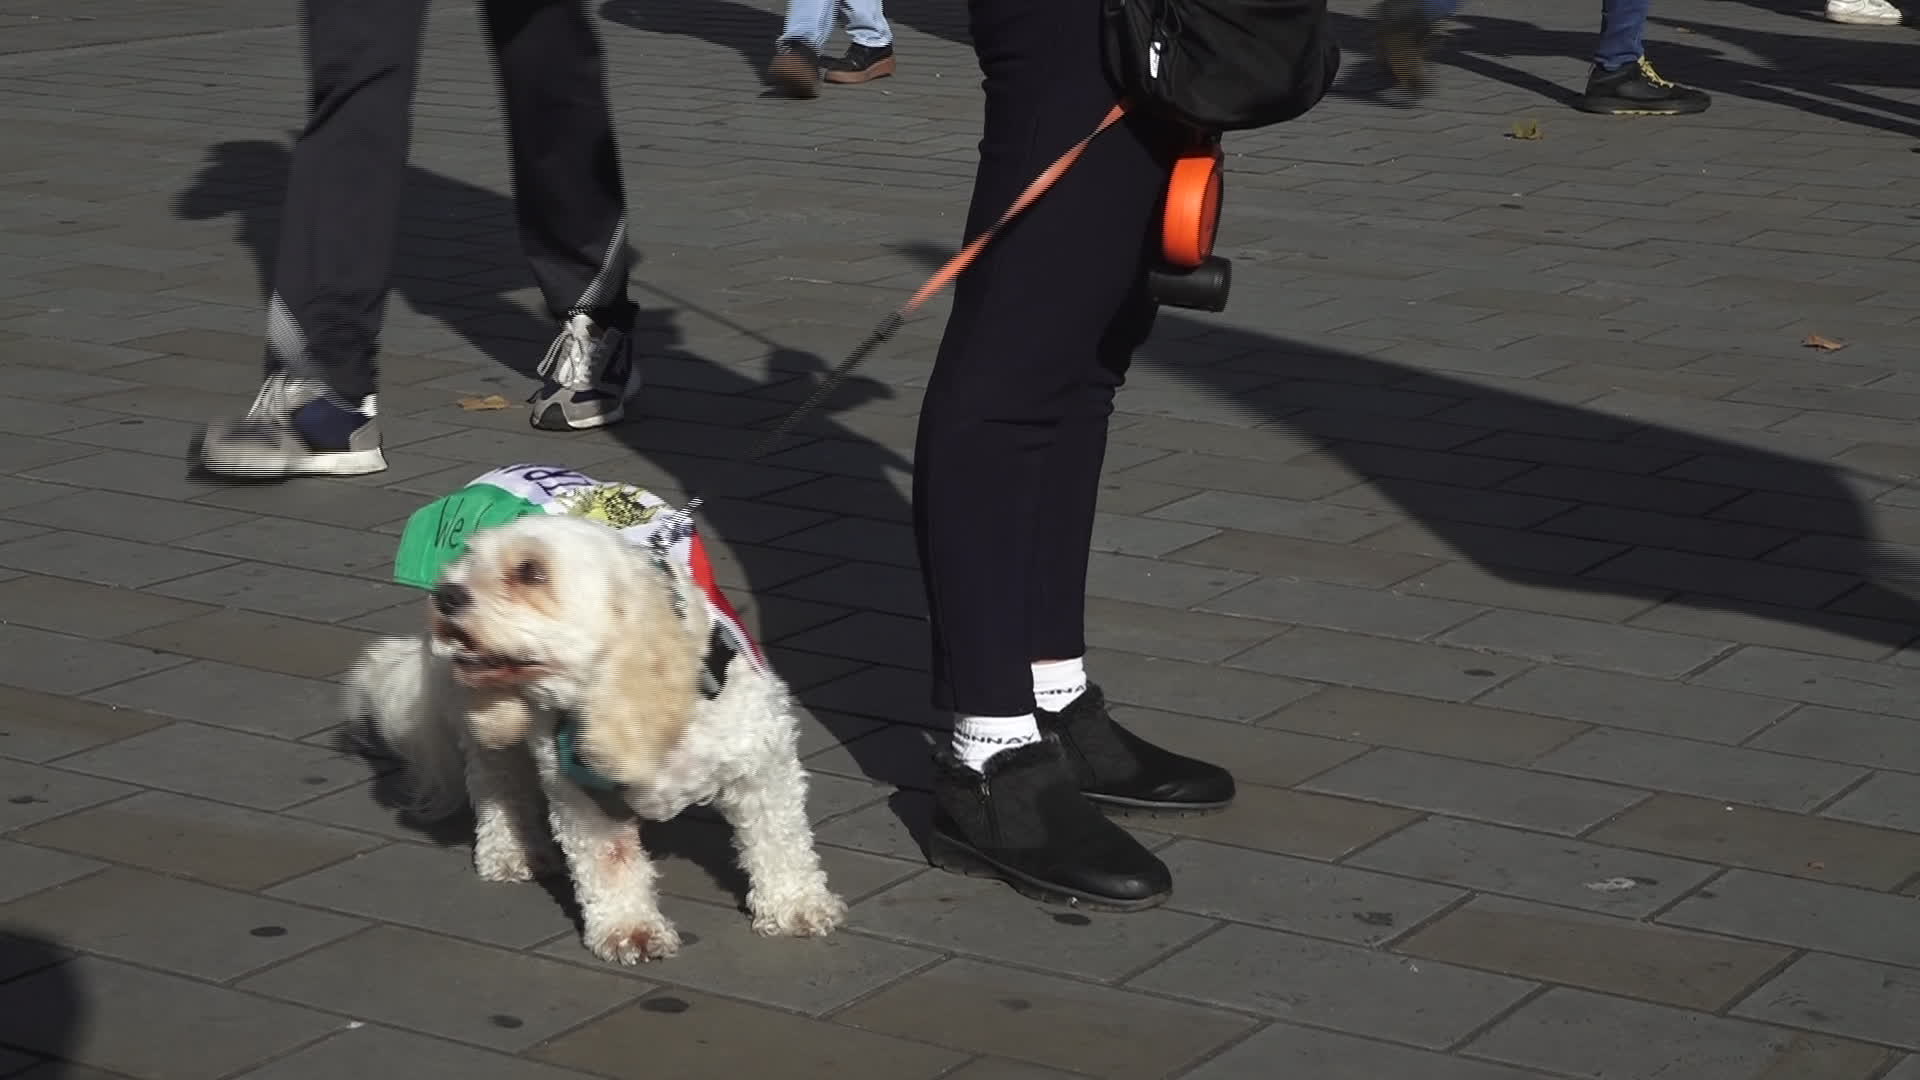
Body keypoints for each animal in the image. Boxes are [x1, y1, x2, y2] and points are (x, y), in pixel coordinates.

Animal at [343, 507, 848, 960]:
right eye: (468, 557)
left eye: (530, 572)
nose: (446, 593)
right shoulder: (582, 798)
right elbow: (610, 866)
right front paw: (629, 930)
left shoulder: (762, 765)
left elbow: (780, 839)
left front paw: (795, 905)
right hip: (483, 722)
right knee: (497, 783)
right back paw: (511, 850)